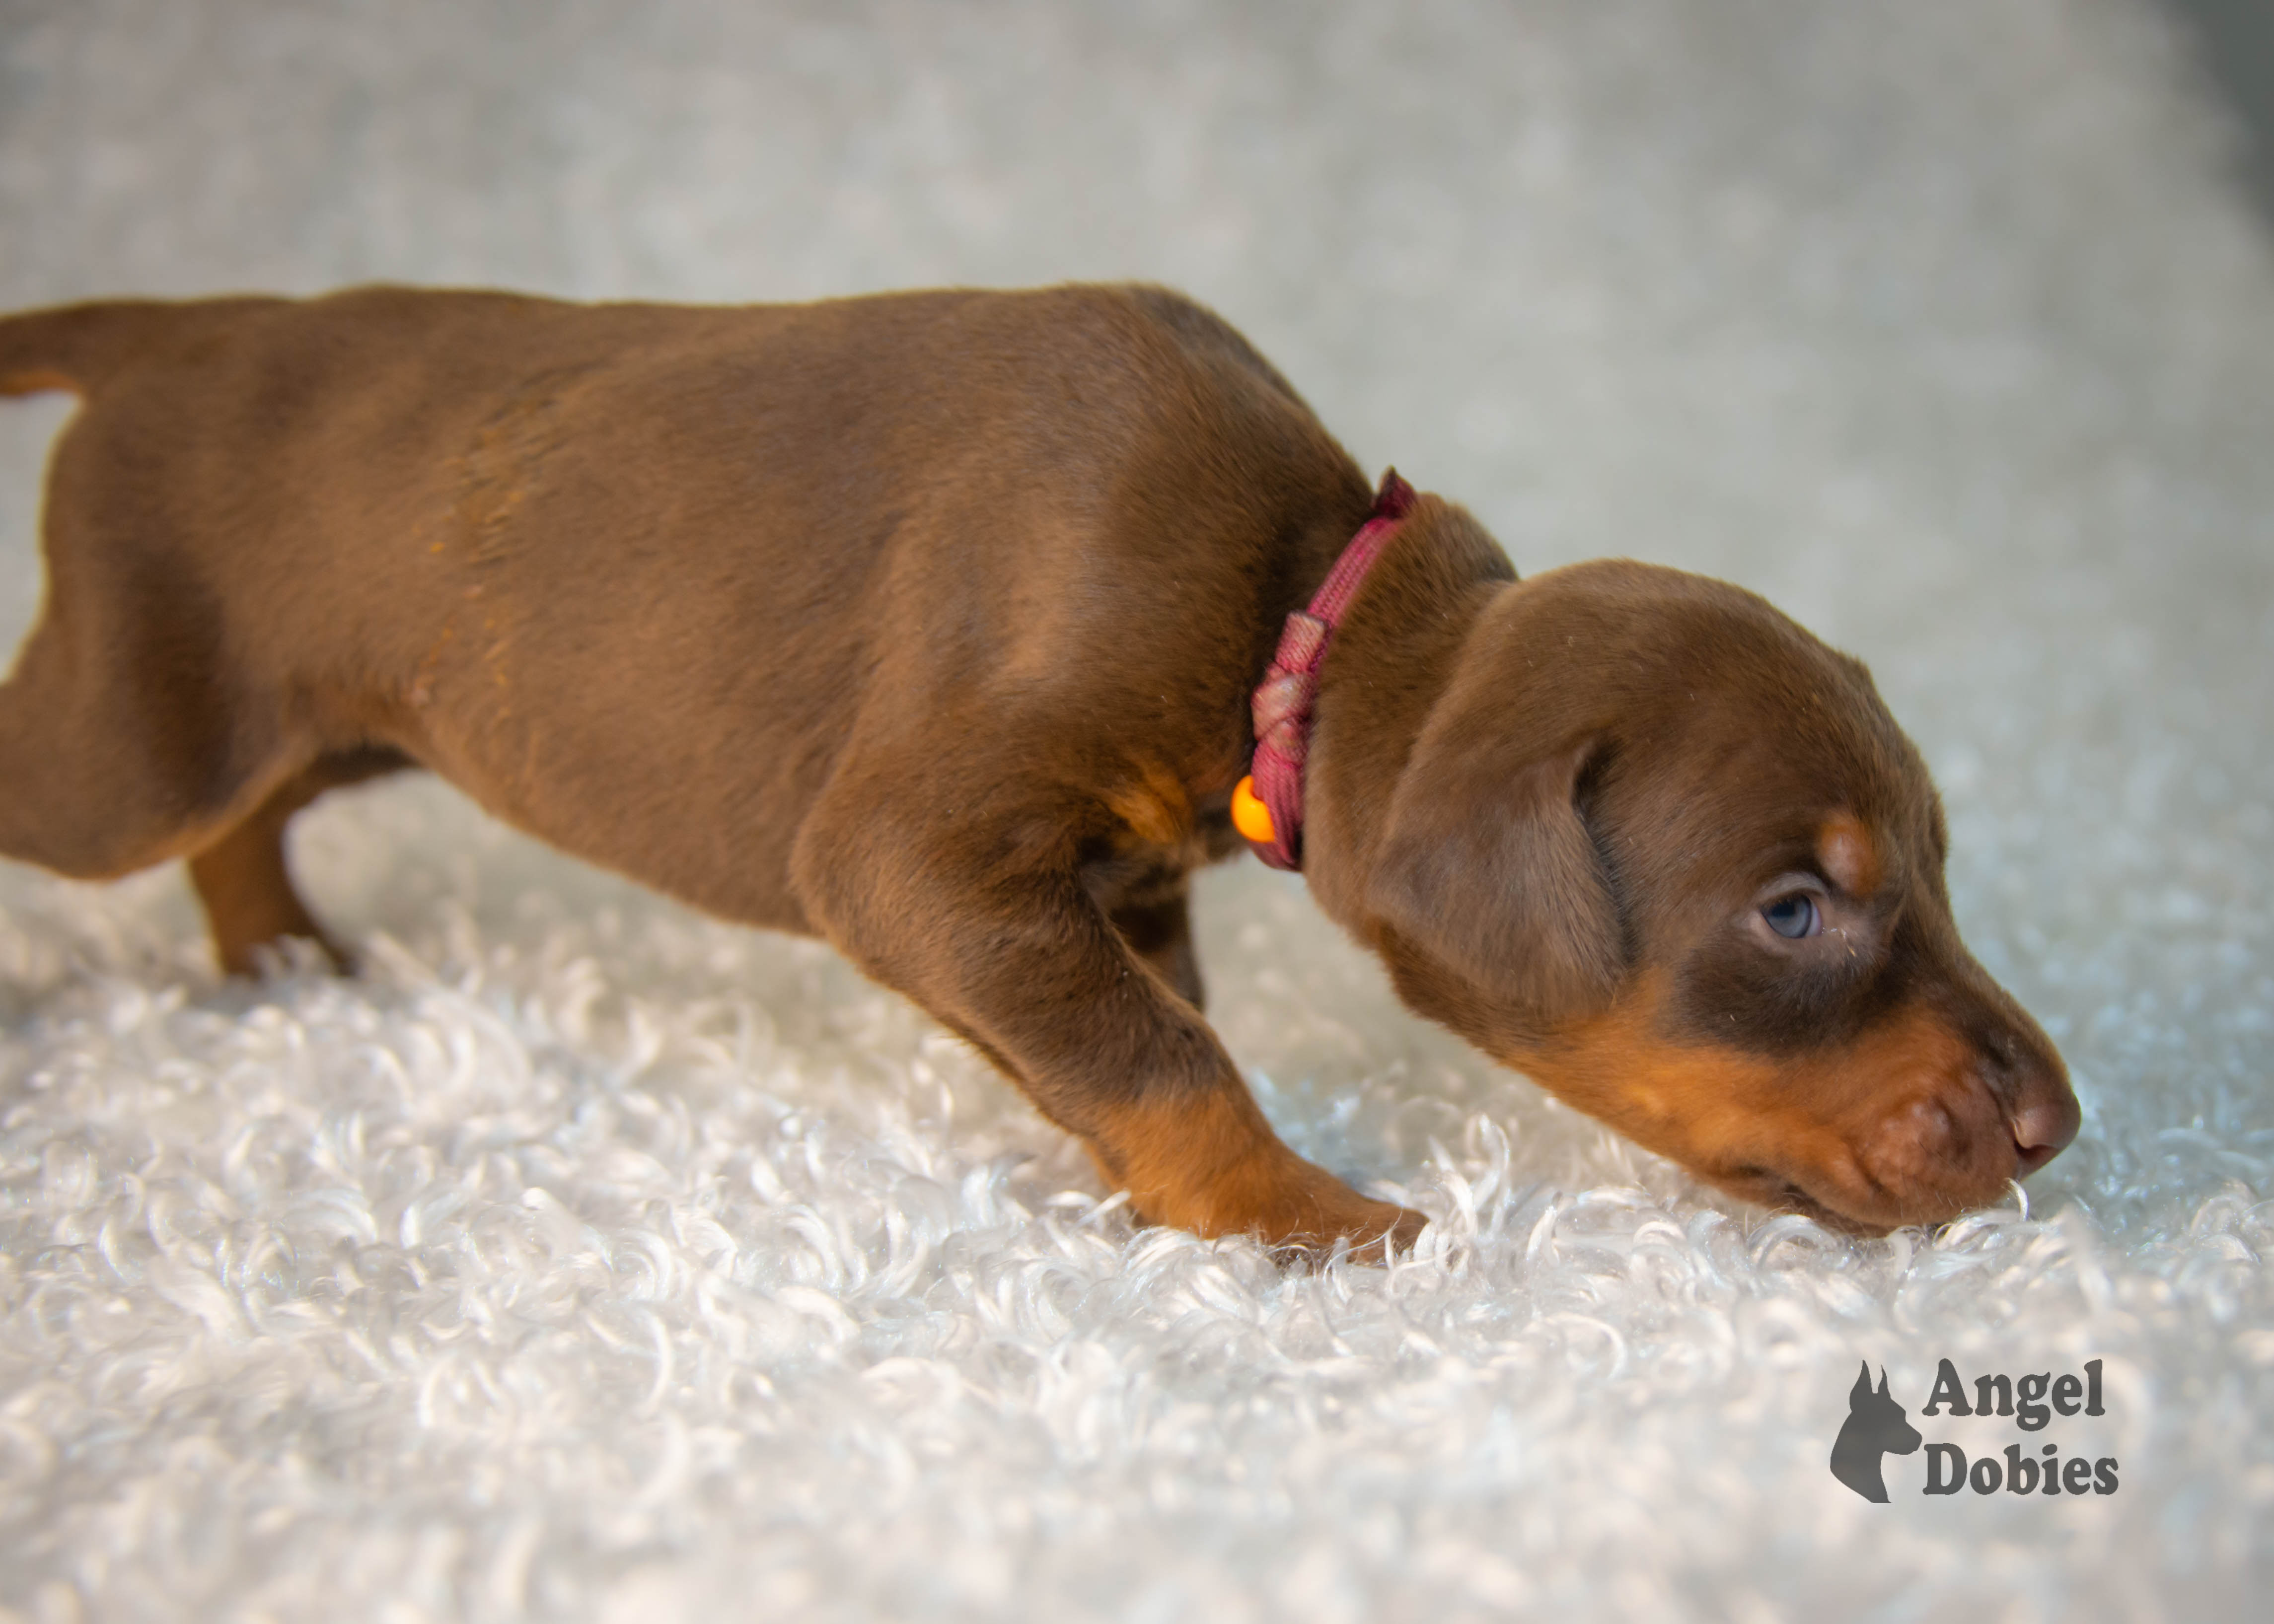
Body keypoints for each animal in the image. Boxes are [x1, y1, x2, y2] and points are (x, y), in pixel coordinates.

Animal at [0, 284, 2083, 1246]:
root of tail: (181, 333)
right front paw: (1295, 1218)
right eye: (1792, 909)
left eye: (1939, 860)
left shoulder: (1118, 872)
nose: (2055, 1128)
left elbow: (1129, 1019)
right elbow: (1164, 1050)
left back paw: (280, 959)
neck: (1294, 613)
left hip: (334, 719)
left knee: (245, 827)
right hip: (134, 731)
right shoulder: (910, 849)